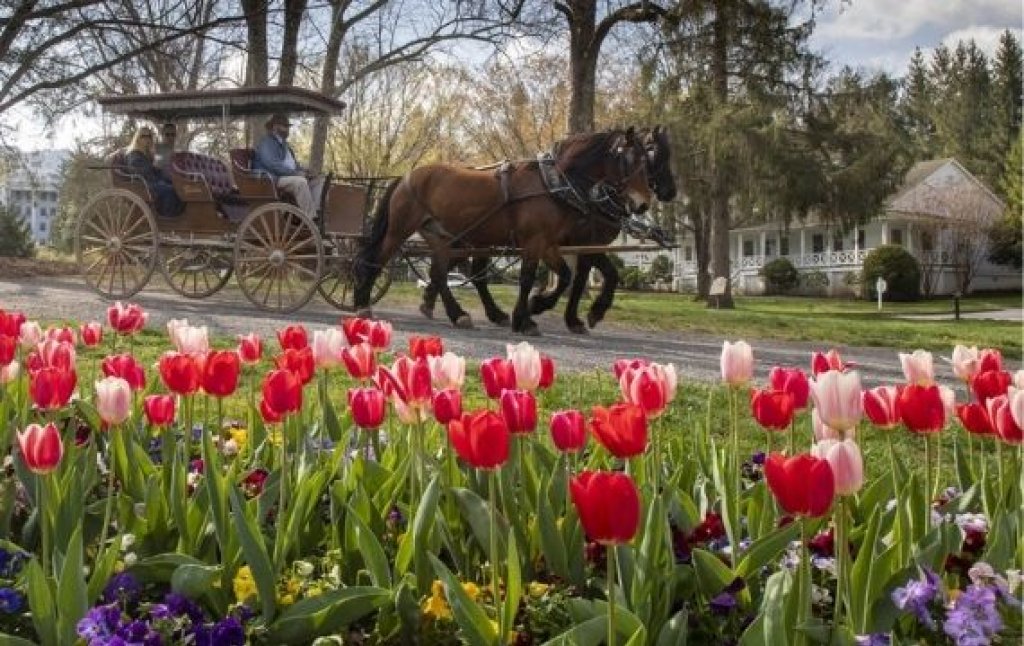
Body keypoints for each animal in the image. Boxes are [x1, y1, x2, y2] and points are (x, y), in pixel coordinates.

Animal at [356, 128, 651, 335]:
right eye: (629, 159)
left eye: (646, 161)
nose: (643, 204)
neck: (552, 184)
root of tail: (406, 177)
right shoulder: (535, 241)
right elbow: (528, 278)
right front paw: (526, 319)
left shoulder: (548, 243)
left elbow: (565, 276)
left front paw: (536, 306)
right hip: (400, 230)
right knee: (377, 260)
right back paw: (362, 304)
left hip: (441, 236)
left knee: (439, 274)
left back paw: (458, 314)